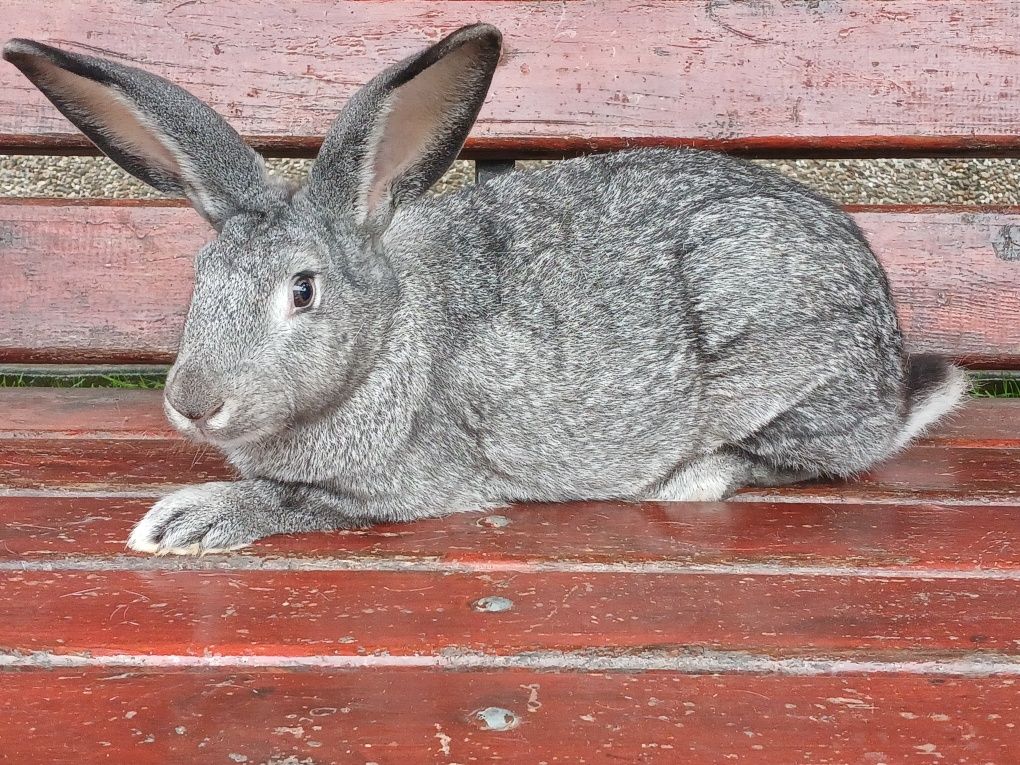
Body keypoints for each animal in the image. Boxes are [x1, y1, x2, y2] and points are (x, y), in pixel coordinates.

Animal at [3, 20, 966, 554]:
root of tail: (891, 369)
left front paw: (185, 522)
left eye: (302, 291)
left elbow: (295, 500)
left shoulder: (397, 486)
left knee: (820, 452)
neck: (388, 335)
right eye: (199, 278)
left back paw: (691, 475)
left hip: (771, 344)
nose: (194, 402)